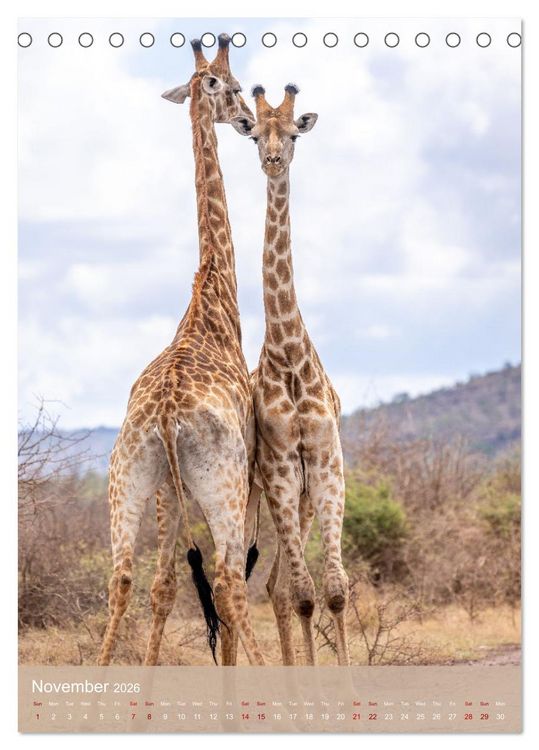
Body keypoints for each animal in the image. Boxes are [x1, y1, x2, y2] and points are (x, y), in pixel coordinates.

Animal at [98, 34, 264, 668]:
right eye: (234, 87)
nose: (248, 123)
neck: (211, 303)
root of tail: (167, 416)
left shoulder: (169, 491)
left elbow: (164, 584)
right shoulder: (248, 463)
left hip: (129, 477)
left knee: (125, 577)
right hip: (220, 480)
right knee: (229, 579)